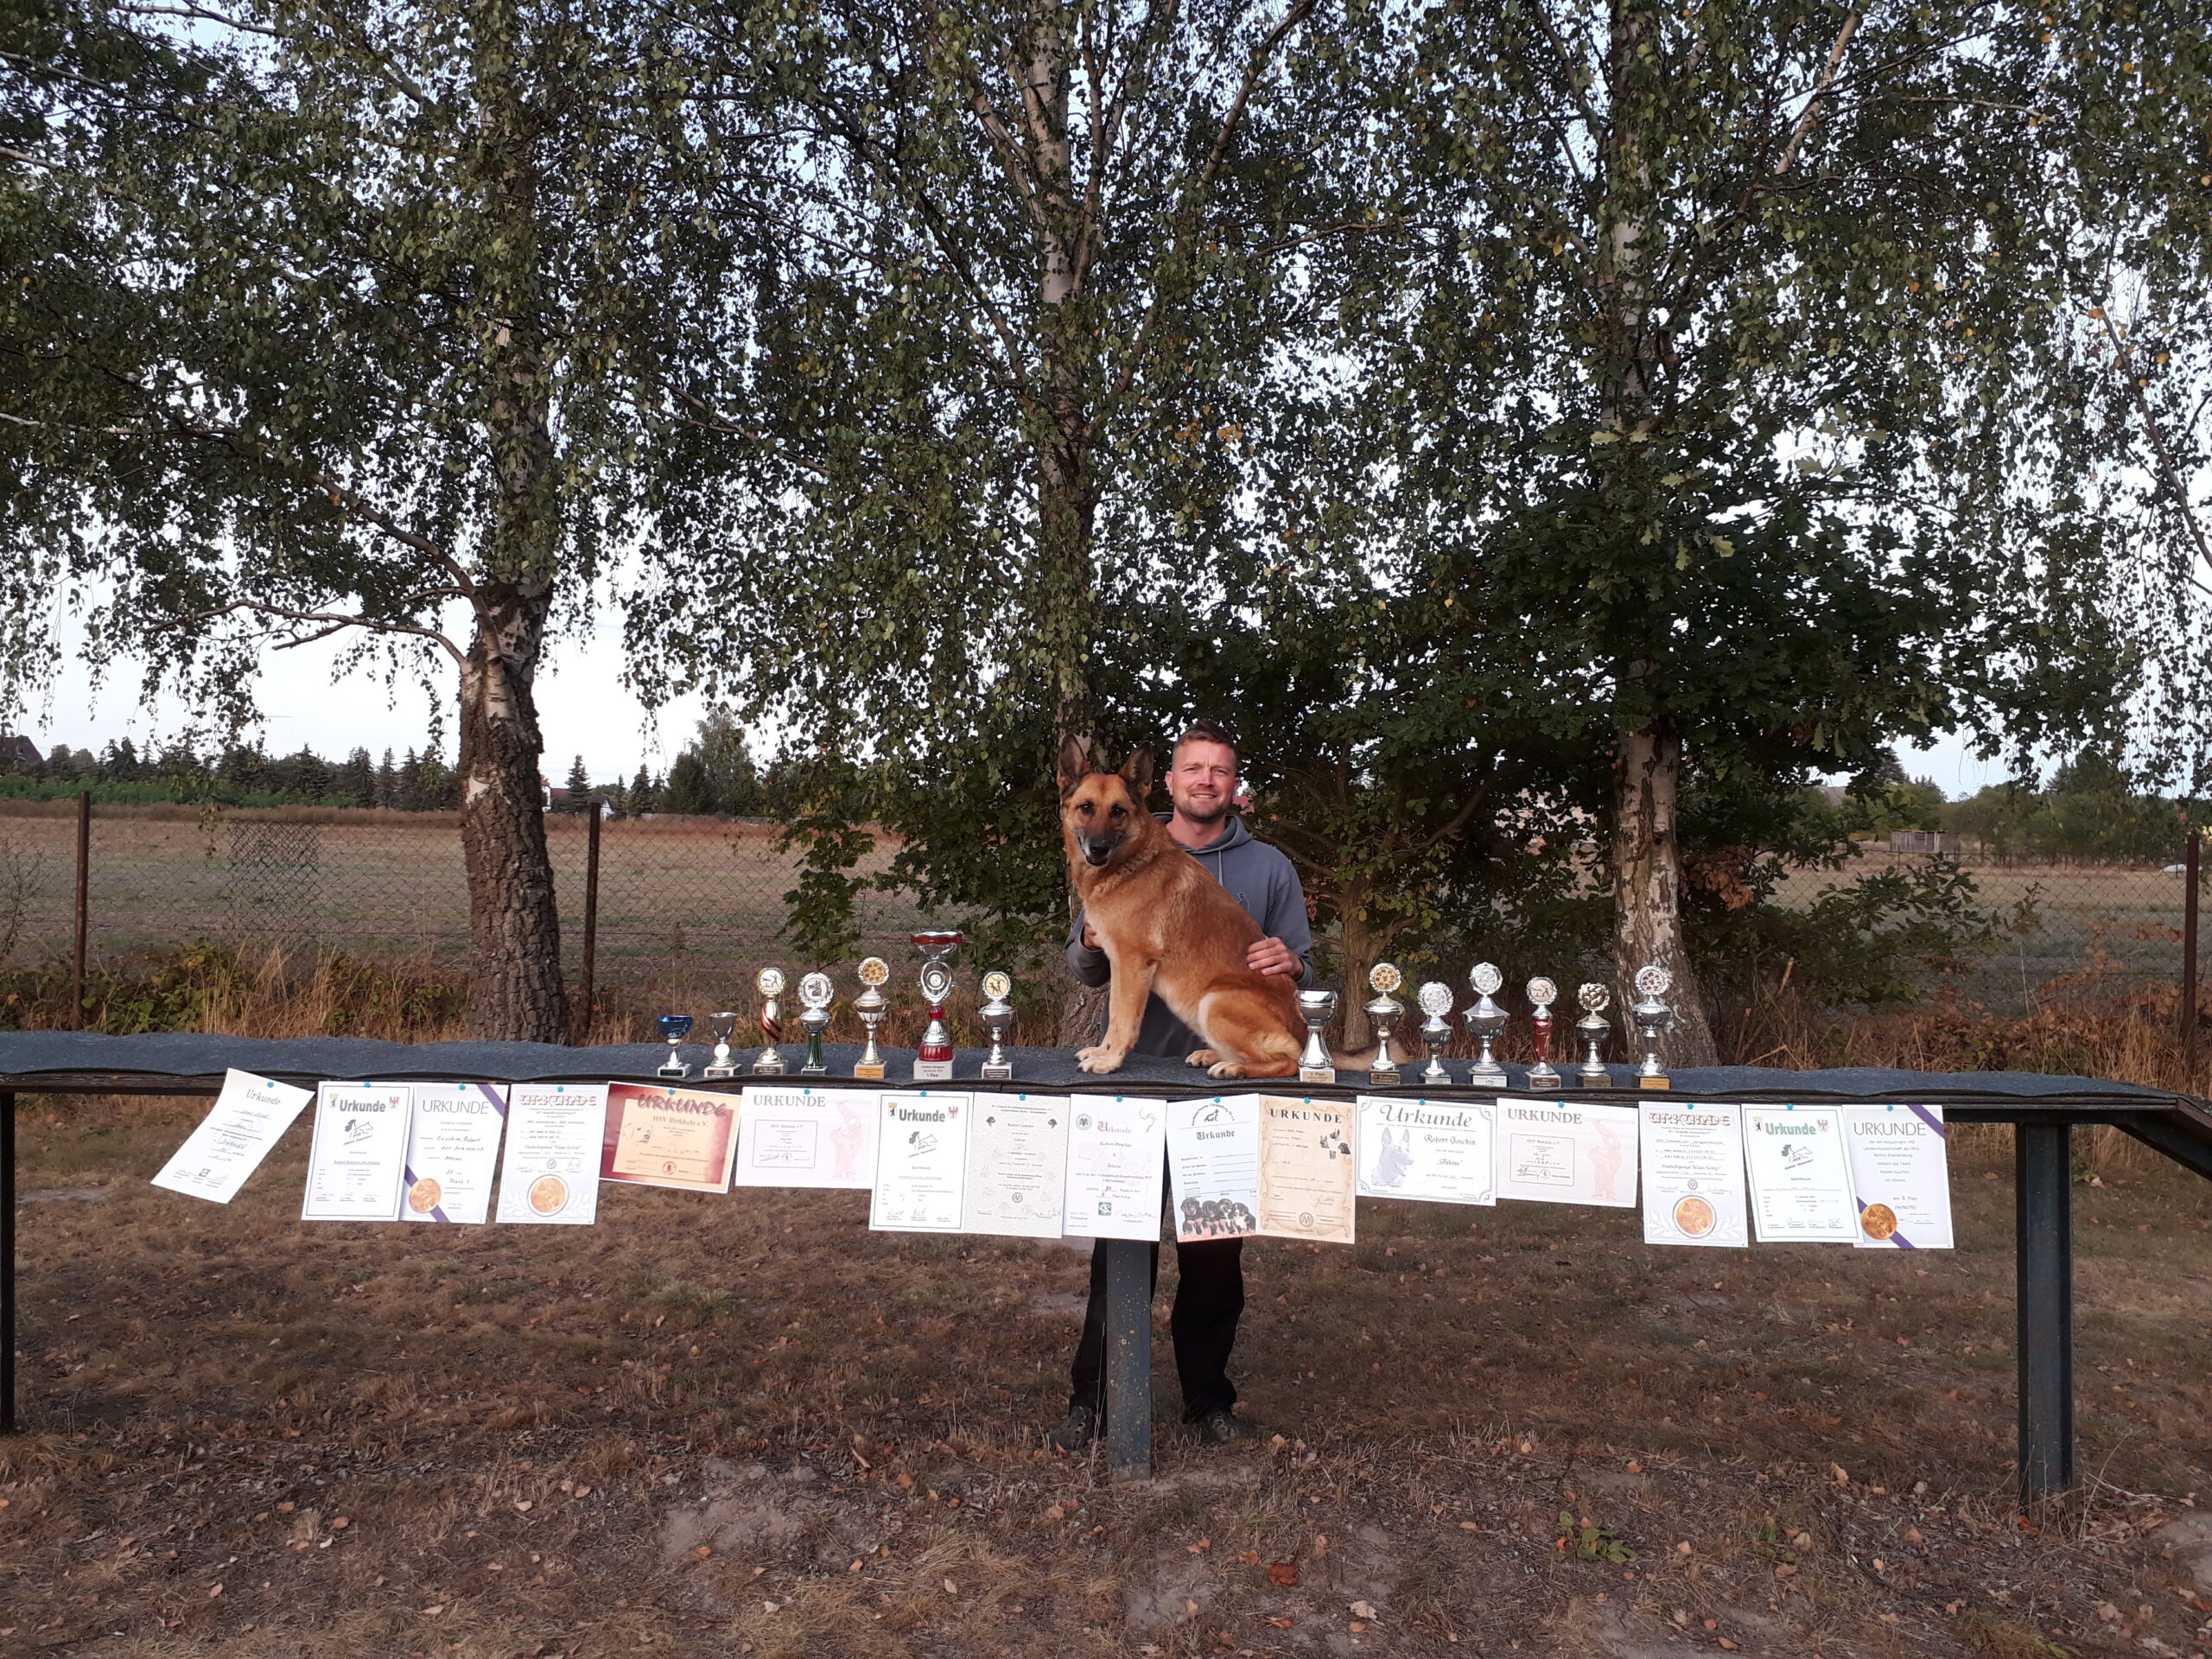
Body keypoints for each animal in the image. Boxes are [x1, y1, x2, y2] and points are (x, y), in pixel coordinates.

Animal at [1059, 738, 1380, 1080]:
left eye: (1118, 811)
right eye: (1086, 807)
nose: (1098, 848)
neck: (1131, 863)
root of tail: (1306, 1032)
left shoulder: (1133, 966)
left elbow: (1123, 1021)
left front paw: (1110, 1060)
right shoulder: (1121, 966)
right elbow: (1115, 1015)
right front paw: (1102, 1052)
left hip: (1213, 1002)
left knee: (1289, 1061)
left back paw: (1233, 1067)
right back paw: (1212, 1056)